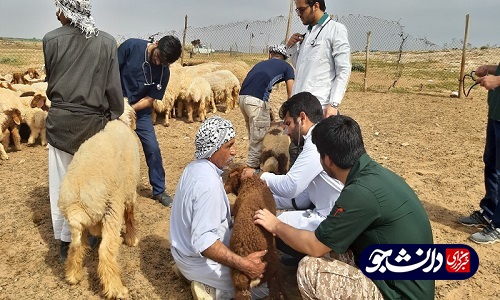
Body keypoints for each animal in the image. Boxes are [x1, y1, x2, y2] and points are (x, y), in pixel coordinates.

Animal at [59, 99, 140, 298]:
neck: (119, 122)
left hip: (78, 226)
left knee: (76, 247)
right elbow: (130, 216)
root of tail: (76, 205)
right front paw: (132, 239)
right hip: (112, 209)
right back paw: (116, 289)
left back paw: (73, 276)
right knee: (106, 251)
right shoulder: (130, 192)